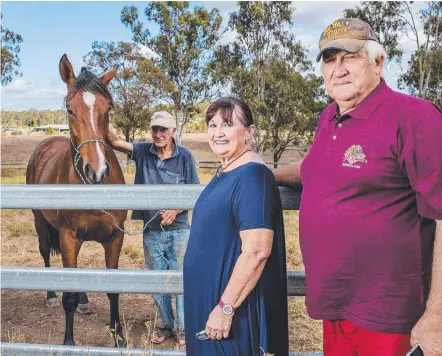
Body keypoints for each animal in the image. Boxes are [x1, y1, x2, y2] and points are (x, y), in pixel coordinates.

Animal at [25, 54, 127, 346]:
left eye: (109, 107)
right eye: (70, 109)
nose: (97, 171)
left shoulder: (115, 237)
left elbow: (114, 290)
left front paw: (119, 337)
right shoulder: (68, 237)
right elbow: (67, 296)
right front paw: (68, 341)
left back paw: (84, 299)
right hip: (41, 222)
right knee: (45, 252)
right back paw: (50, 295)